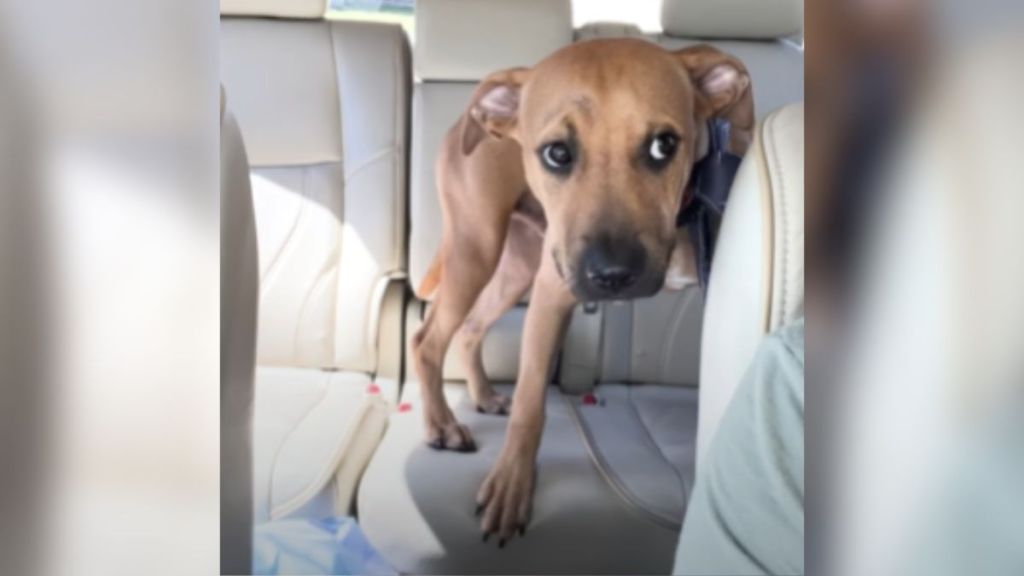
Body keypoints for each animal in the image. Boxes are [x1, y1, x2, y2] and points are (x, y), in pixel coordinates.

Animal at [407, 38, 753, 541]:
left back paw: (484, 396)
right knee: (427, 339)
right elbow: (531, 405)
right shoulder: (552, 296)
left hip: (518, 264)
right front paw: (511, 490)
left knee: (470, 328)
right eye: (557, 153)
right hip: (477, 249)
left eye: (664, 145)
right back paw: (442, 426)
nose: (613, 275)